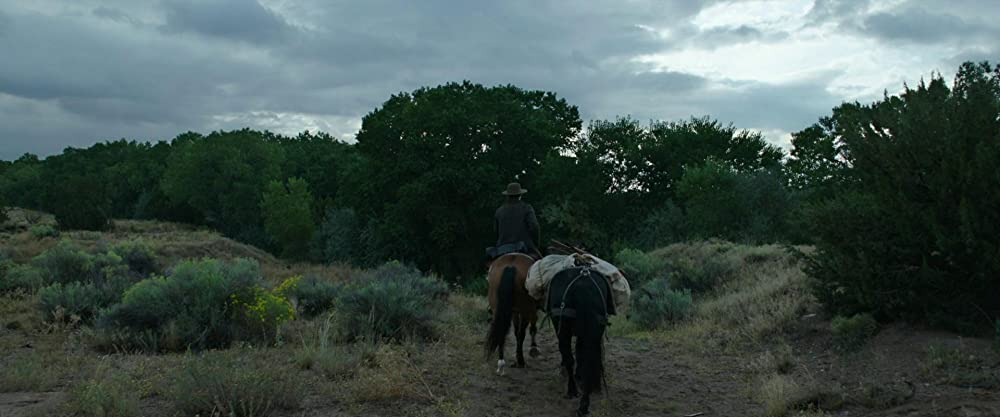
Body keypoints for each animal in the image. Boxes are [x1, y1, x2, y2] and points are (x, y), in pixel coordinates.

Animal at [544, 264, 612, 414]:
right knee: (590, 359)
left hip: (563, 330)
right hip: (595, 330)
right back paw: (584, 403)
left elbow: (569, 357)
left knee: (570, 358)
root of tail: (584, 285)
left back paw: (574, 392)